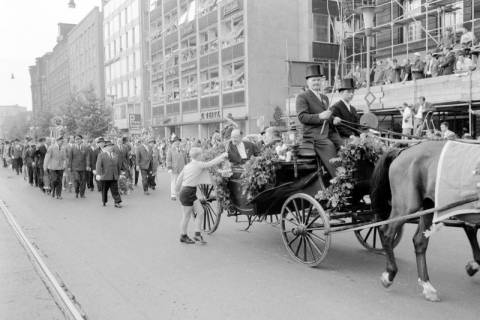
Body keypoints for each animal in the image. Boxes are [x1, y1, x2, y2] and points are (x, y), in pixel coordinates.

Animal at [372, 139, 480, 300]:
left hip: (430, 205)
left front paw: (472, 266)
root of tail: (404, 150)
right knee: (387, 232)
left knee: (419, 241)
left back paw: (426, 284)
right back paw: (390, 274)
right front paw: (473, 266)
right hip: (407, 206)